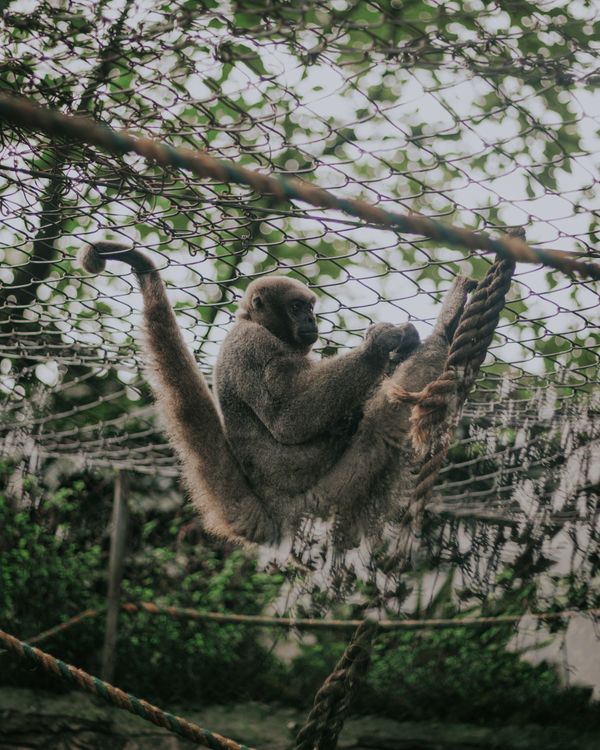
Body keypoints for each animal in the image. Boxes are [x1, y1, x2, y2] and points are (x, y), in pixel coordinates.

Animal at [78, 241, 473, 548]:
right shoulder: (254, 346)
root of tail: (272, 506)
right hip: (318, 498)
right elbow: (289, 421)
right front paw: (378, 346)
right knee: (378, 428)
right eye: (297, 307)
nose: (312, 320)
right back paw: (445, 328)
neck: (250, 322)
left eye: (310, 307)